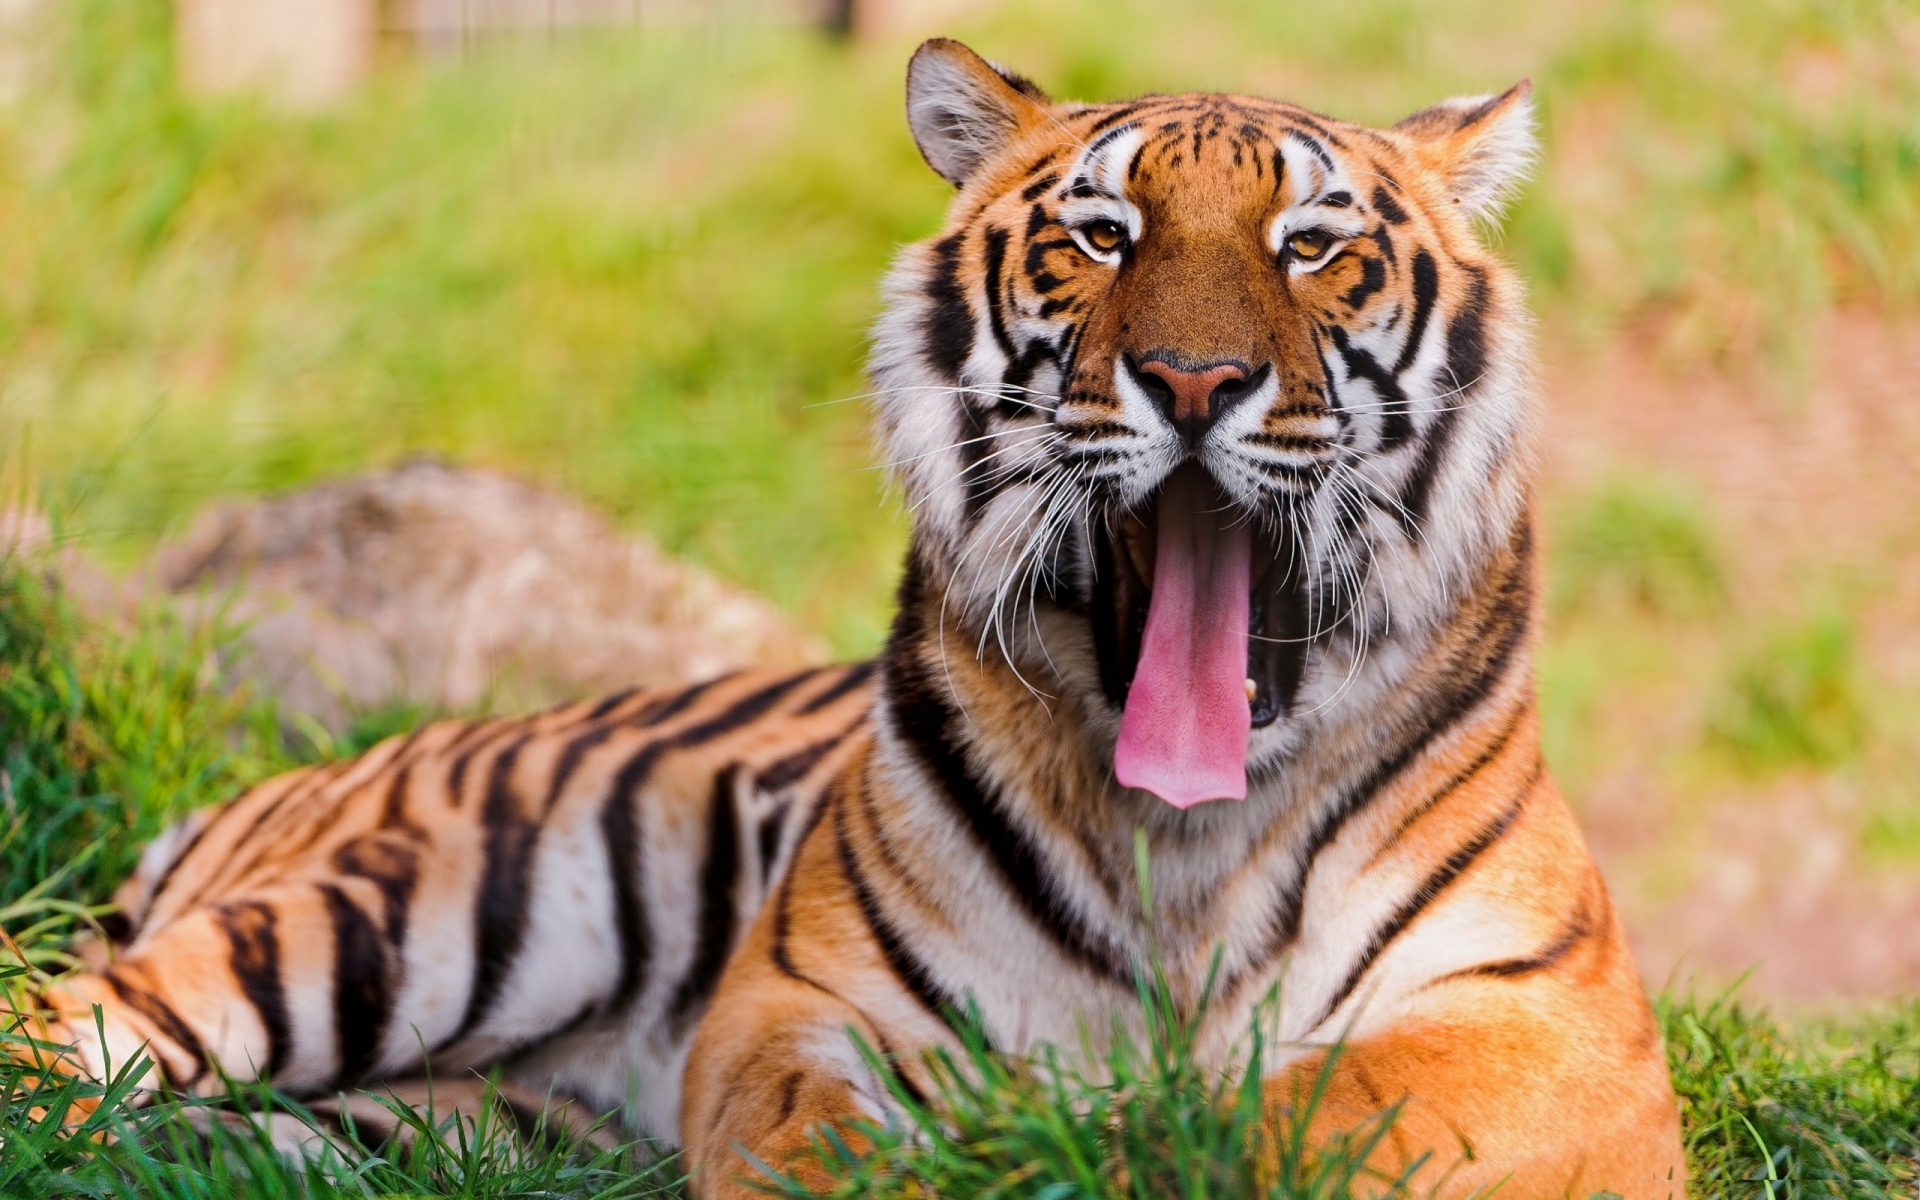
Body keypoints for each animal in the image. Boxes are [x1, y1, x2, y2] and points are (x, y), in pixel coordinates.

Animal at [11, 38, 1686, 1199]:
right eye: (1104, 237)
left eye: (1312, 247)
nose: (1197, 381)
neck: (1185, 839)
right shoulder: (796, 1001)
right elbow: (822, 1138)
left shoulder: (1551, 1027)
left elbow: (1312, 1108)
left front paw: (1134, 1137)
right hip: (414, 904)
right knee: (72, 1027)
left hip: (420, 1123)